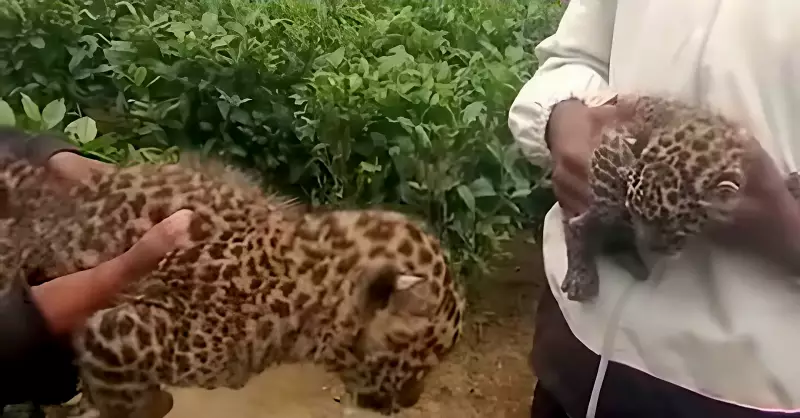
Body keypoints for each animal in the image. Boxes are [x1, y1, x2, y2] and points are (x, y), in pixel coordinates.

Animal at [560, 92, 800, 302]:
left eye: (672, 226)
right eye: (634, 214)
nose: (652, 248)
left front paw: (792, 184)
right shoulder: (615, 136)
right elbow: (609, 170)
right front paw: (600, 212)